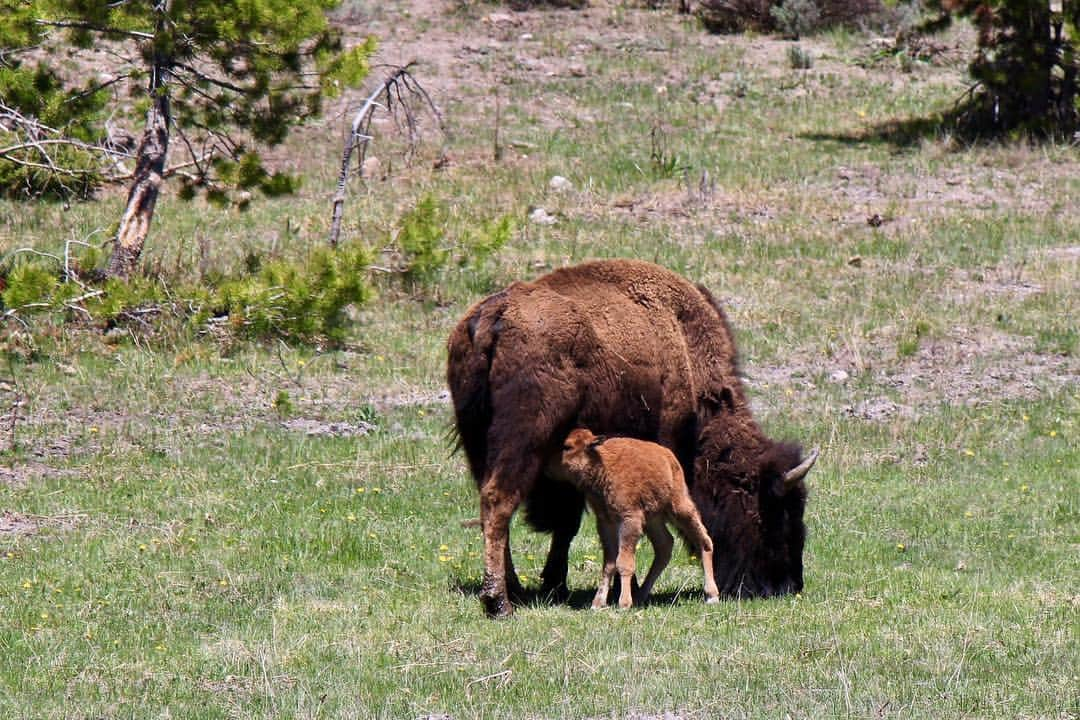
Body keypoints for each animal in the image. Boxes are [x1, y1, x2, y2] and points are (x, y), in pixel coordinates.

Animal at [552, 427, 721, 608]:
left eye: (568, 447)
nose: (551, 466)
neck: (602, 464)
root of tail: (669, 456)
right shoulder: (605, 522)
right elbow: (609, 563)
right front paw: (597, 603)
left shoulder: (629, 520)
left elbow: (624, 562)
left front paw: (624, 603)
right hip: (653, 520)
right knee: (664, 546)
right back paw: (640, 596)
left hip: (679, 507)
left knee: (703, 540)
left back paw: (712, 595)